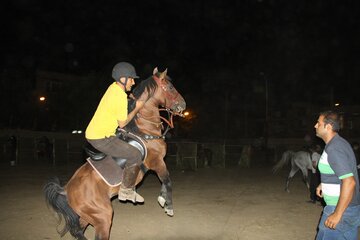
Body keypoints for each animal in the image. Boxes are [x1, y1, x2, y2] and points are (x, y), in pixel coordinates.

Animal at [43, 68, 187, 240]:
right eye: (170, 88)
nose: (183, 104)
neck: (144, 131)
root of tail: (66, 189)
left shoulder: (158, 163)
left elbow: (165, 181)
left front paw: (162, 199)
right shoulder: (156, 162)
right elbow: (167, 180)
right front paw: (168, 205)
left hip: (88, 216)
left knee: (78, 231)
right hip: (103, 216)